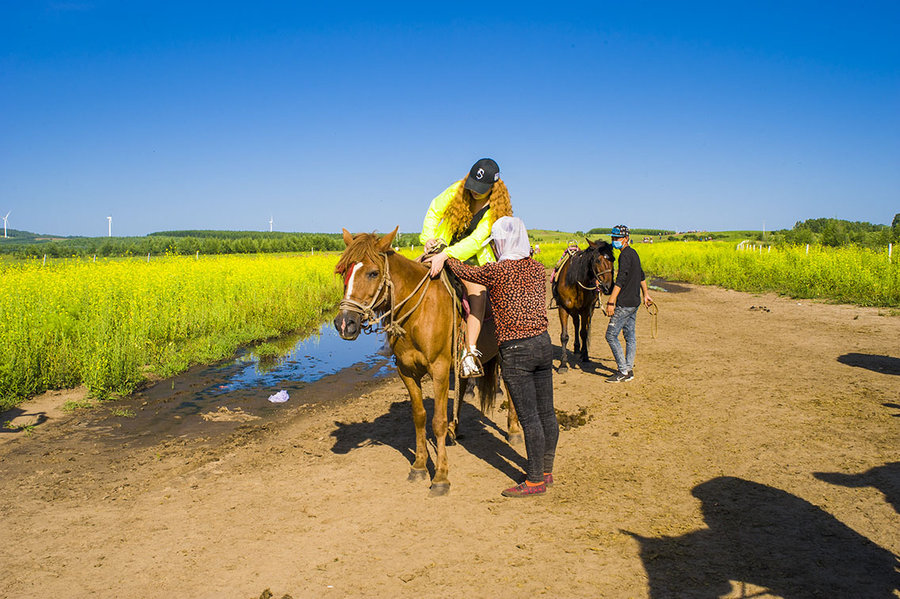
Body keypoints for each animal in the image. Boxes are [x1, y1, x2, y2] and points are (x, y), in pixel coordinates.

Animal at [332, 227, 520, 494]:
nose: (344, 323)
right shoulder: (407, 371)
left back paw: (514, 430)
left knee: (512, 390)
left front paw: (441, 476)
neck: (418, 312)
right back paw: (455, 430)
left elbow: (437, 421)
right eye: (343, 272)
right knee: (462, 387)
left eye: (373, 272)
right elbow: (419, 417)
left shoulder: (439, 370)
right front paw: (419, 466)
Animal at [552, 238, 616, 370]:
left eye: (613, 259)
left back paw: (581, 351)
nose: (609, 287)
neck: (574, 281)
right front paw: (563, 364)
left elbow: (584, 333)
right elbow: (564, 336)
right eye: (598, 260)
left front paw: (585, 355)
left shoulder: (586, 310)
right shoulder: (563, 308)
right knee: (576, 323)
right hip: (574, 310)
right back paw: (577, 348)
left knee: (582, 327)